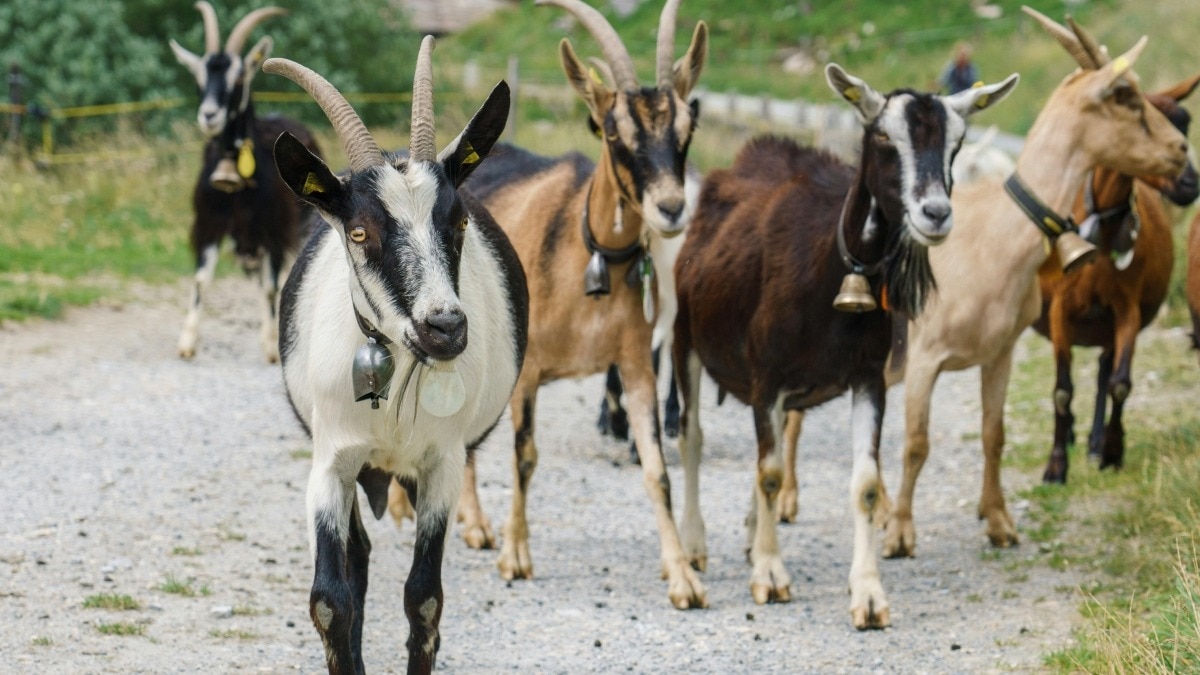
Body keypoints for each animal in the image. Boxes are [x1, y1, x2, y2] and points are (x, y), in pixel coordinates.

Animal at [170, 1, 321, 362]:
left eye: (238, 76)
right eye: (199, 76)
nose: (209, 115)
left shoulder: (274, 228)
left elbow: (270, 287)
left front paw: (270, 344)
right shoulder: (209, 222)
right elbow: (201, 279)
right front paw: (188, 341)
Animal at [265, 38, 525, 673]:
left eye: (459, 219)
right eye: (359, 232)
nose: (445, 328)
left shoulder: (444, 463)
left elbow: (424, 599)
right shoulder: (331, 459)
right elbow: (330, 598)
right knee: (357, 559)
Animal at [673, 64, 1019, 628]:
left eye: (957, 143)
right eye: (883, 138)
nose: (936, 213)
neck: (830, 266)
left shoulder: (867, 377)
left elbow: (866, 484)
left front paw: (869, 594)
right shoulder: (767, 375)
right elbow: (771, 473)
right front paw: (770, 575)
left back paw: (749, 534)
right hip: (686, 340)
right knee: (692, 438)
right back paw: (695, 544)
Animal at [1033, 77, 1200, 483]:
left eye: (1184, 124)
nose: (1191, 183)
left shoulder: (1126, 309)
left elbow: (1120, 384)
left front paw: (1112, 450)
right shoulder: (1060, 310)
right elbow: (1061, 390)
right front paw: (1056, 466)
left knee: (1103, 375)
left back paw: (1095, 442)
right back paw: (1073, 436)